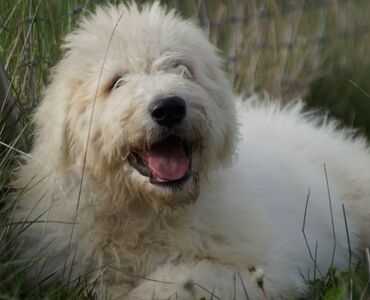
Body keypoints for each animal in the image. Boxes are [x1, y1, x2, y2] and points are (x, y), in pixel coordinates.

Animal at [13, 2, 370, 300]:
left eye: (181, 68)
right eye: (116, 81)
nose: (169, 108)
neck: (148, 211)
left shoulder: (265, 268)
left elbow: (181, 279)